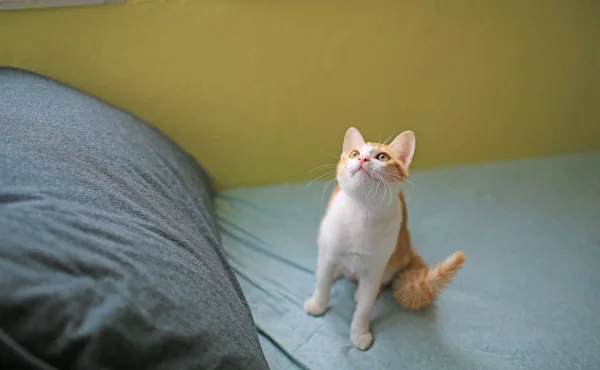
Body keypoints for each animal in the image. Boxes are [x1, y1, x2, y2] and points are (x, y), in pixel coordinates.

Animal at [302, 126, 466, 350]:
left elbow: (365, 306)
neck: (362, 211)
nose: (362, 159)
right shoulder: (328, 251)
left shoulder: (375, 268)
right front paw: (318, 304)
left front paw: (359, 332)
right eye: (354, 153)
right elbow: (323, 284)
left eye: (382, 157)